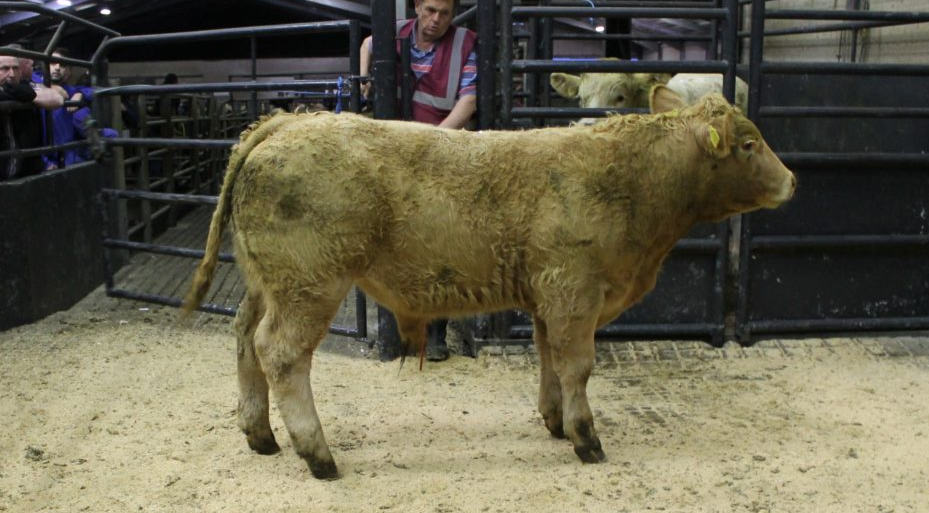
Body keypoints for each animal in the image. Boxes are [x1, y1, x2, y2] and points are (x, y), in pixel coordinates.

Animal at [182, 85, 796, 480]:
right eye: (748, 143)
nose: (791, 180)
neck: (631, 180)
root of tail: (291, 119)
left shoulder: (550, 299)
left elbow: (550, 360)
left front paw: (554, 421)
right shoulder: (575, 291)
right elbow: (578, 366)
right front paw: (586, 438)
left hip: (267, 282)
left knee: (244, 340)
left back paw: (261, 436)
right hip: (311, 284)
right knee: (280, 353)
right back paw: (318, 455)